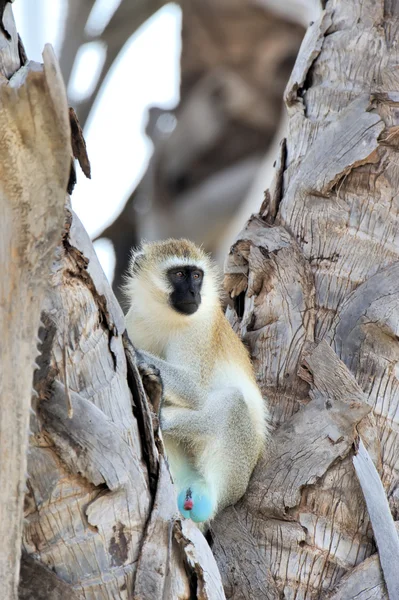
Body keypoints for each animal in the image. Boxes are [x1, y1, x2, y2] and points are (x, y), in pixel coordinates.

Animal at [125, 238, 268, 520]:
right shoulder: (135, 319)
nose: (193, 293)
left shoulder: (199, 327)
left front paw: (134, 351)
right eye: (179, 274)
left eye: (197, 276)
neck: (164, 317)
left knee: (233, 404)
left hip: (241, 465)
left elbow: (194, 389)